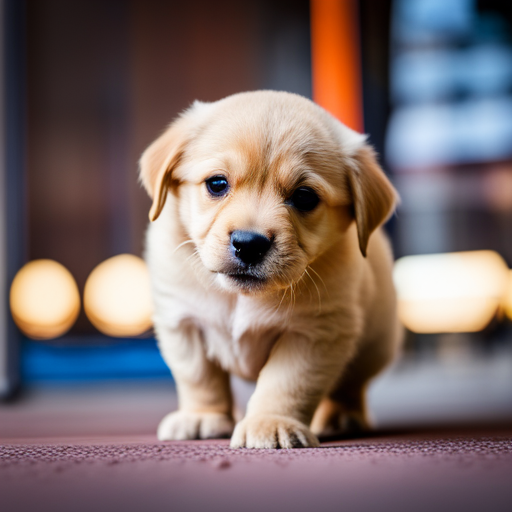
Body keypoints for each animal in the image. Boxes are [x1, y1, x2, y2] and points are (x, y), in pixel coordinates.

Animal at [139, 92, 400, 448]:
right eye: (217, 184)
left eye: (304, 197)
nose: (248, 244)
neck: (239, 297)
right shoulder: (182, 322)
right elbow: (199, 377)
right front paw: (203, 416)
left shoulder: (315, 332)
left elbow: (286, 384)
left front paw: (271, 423)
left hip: (374, 346)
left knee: (349, 386)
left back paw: (341, 416)